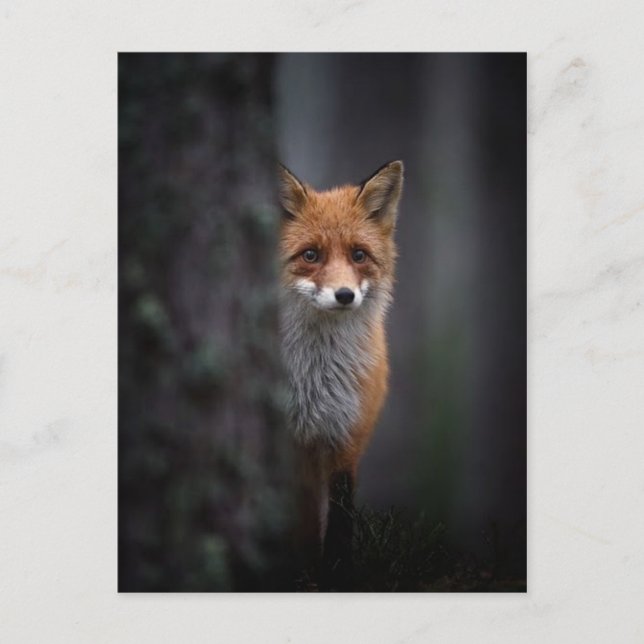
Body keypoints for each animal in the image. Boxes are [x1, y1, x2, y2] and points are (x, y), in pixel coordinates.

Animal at [278, 160, 404, 586]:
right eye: (311, 254)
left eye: (359, 255)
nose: (345, 295)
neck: (312, 379)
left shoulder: (346, 434)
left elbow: (341, 515)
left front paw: (336, 574)